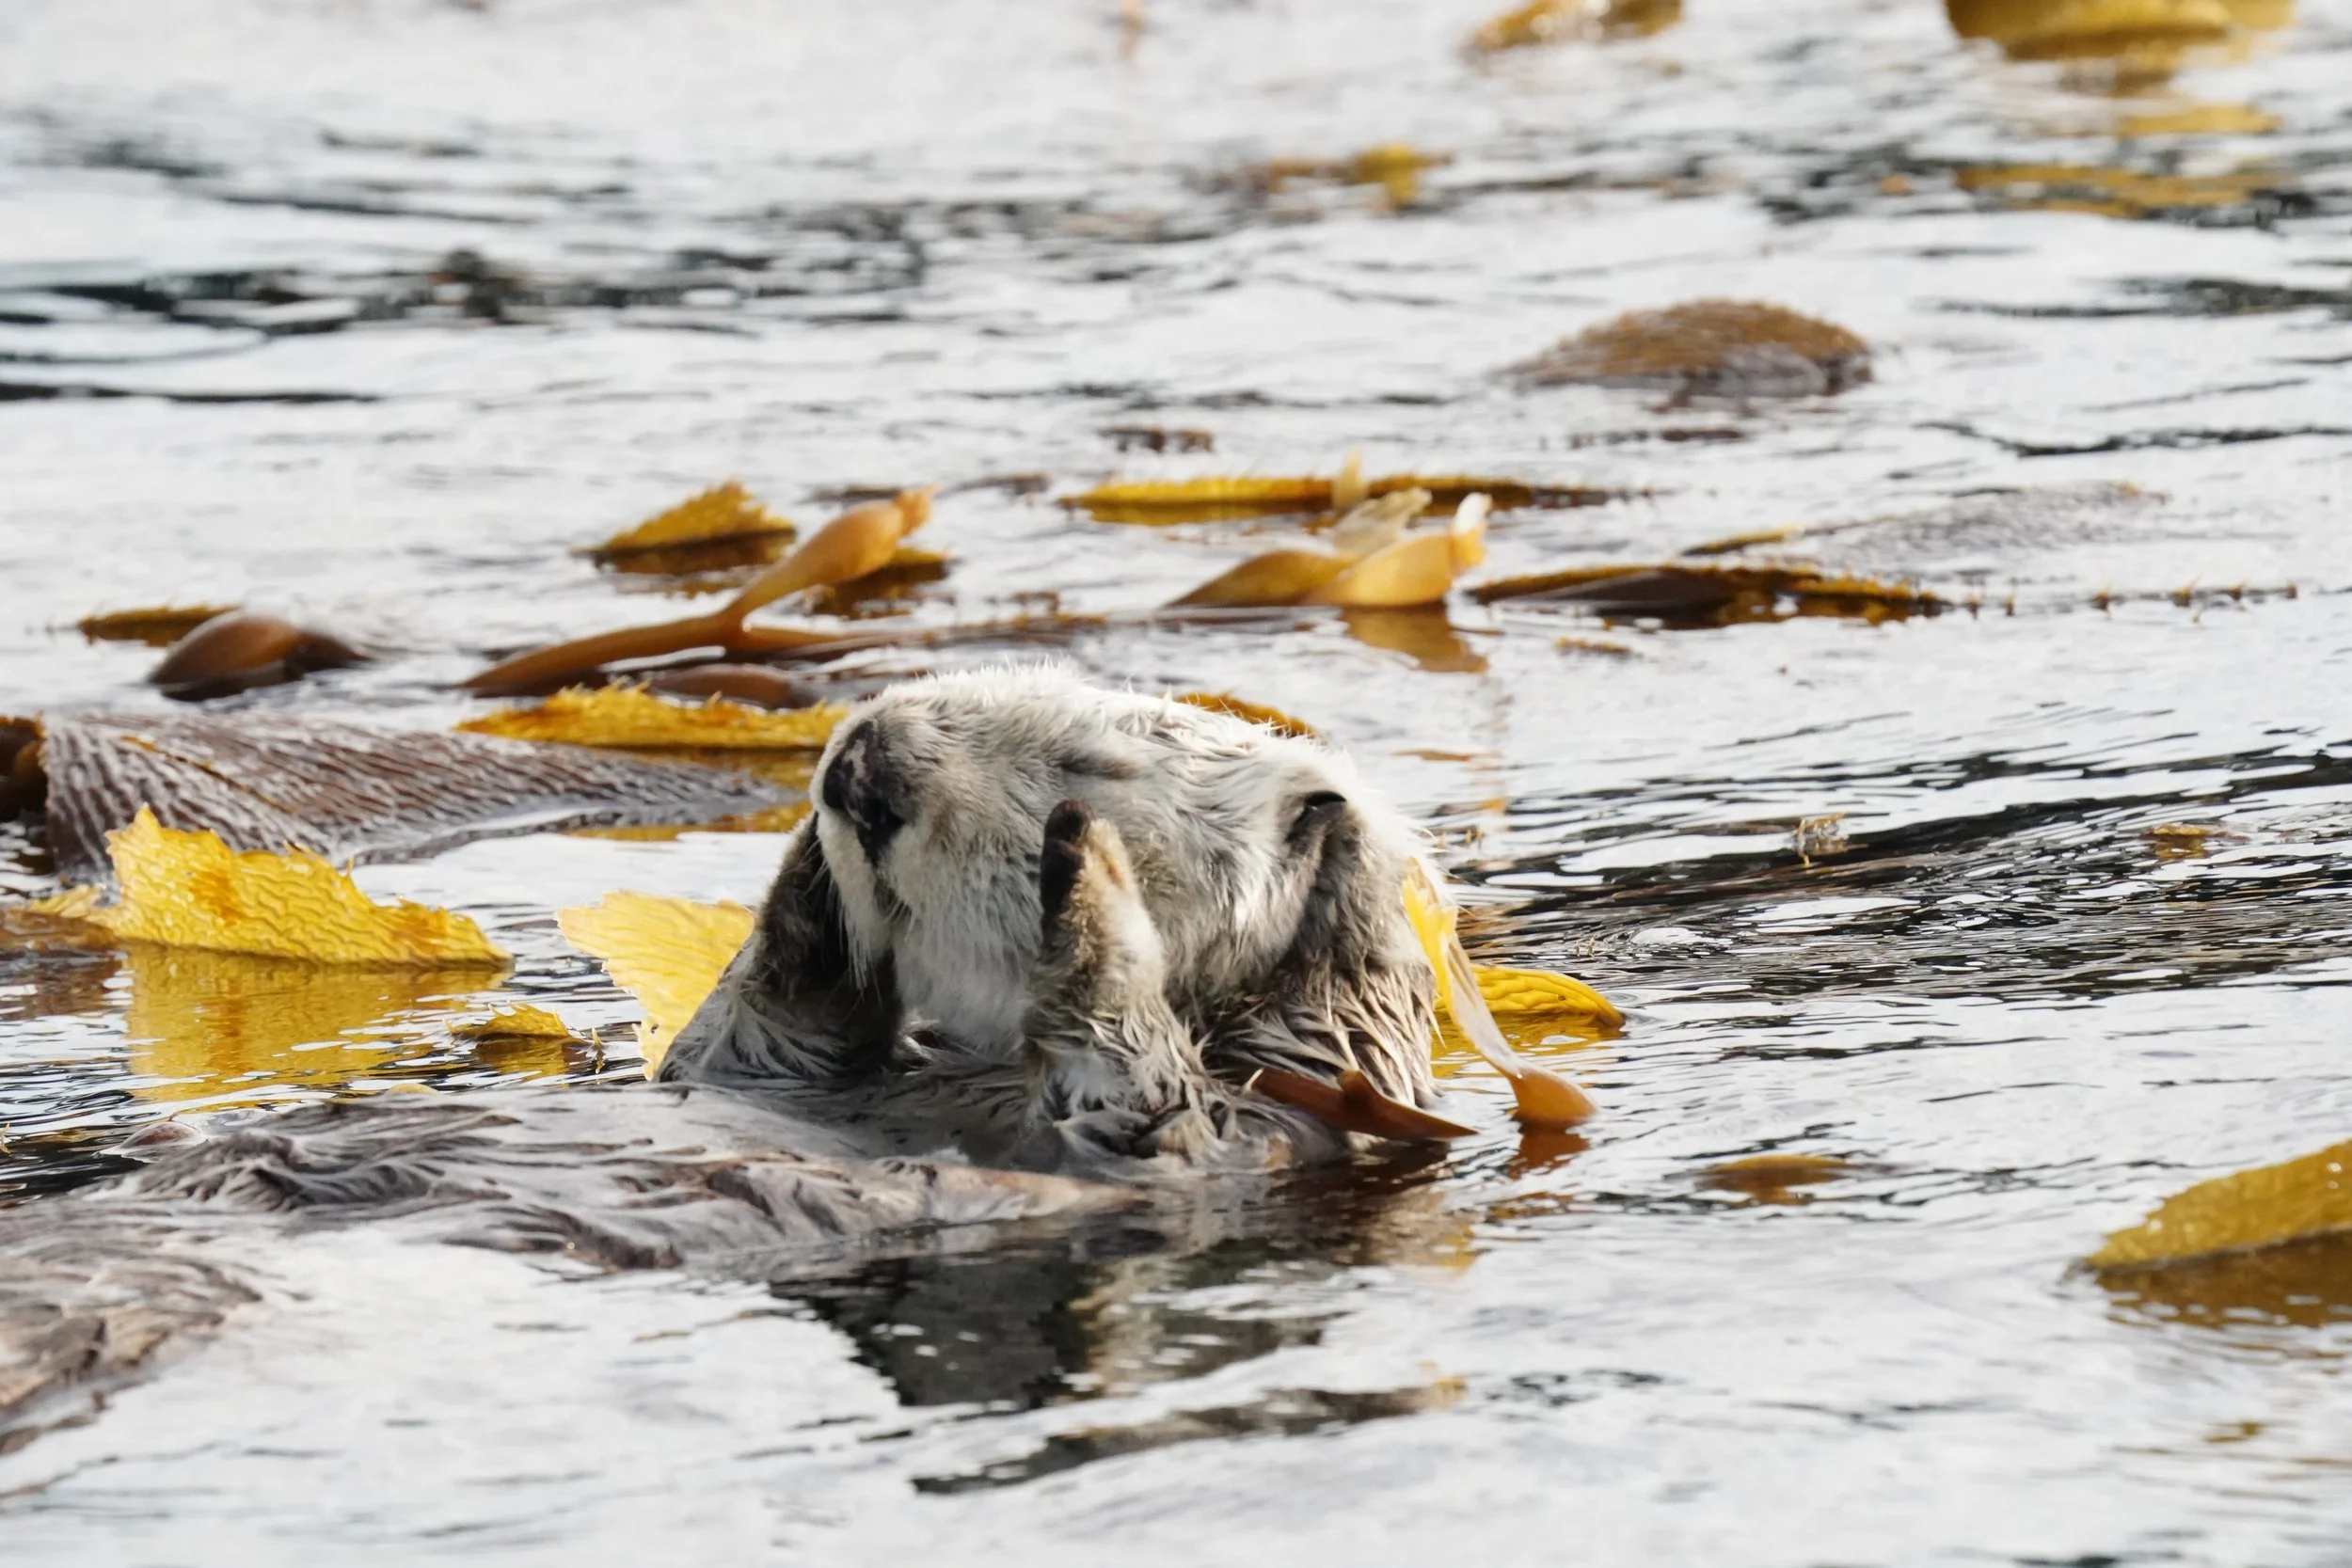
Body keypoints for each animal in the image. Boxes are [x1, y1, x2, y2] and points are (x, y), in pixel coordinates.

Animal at [662, 666, 1444, 1171]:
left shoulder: (1254, 1123)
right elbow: (759, 1022)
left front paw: (1091, 868)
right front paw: (813, 875)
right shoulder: (760, 1058)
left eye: (1085, 764)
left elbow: (1149, 1101)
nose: (857, 772)